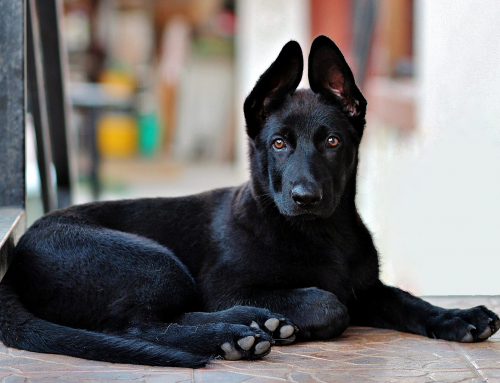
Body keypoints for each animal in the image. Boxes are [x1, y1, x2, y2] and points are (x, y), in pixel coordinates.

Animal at [0, 36, 498, 368]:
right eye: (278, 144)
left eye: (333, 141)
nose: (305, 197)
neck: (321, 233)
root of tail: (16, 260)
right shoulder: (225, 284)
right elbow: (329, 303)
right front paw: (301, 316)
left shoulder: (368, 287)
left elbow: (407, 300)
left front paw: (458, 316)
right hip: (155, 262)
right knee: (138, 325)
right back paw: (236, 335)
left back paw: (256, 325)